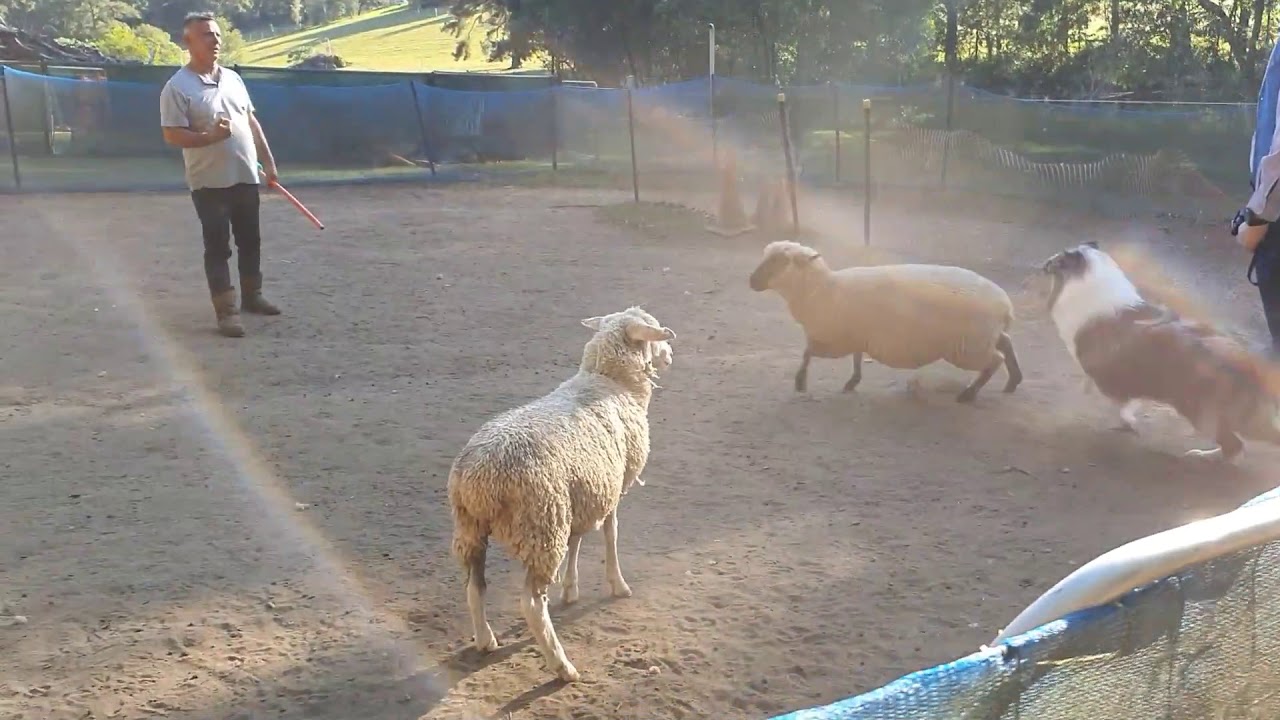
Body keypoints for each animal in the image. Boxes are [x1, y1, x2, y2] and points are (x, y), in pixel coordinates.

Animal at [446, 306, 677, 682]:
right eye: (654, 331)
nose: (669, 354)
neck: (609, 382)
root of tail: (481, 477)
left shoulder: (583, 493)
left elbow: (578, 540)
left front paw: (571, 589)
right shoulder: (613, 486)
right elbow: (611, 534)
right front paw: (617, 584)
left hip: (474, 527)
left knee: (474, 587)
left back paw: (485, 640)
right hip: (541, 524)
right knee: (530, 604)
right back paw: (562, 666)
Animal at [748, 240, 1022, 403]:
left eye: (781, 261)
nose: (751, 281)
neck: (822, 289)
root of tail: (1006, 307)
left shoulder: (834, 339)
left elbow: (807, 353)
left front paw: (800, 381)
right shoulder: (856, 334)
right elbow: (857, 358)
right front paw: (852, 381)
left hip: (969, 347)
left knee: (995, 359)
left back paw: (969, 393)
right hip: (982, 339)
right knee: (1006, 343)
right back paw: (1013, 382)